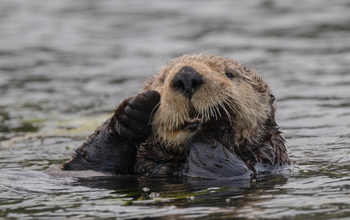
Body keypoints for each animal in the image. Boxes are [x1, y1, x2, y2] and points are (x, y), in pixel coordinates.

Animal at [49, 53, 290, 179]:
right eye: (163, 79)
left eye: (230, 74)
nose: (186, 76)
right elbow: (85, 165)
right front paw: (134, 111)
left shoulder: (264, 158)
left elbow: (221, 167)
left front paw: (217, 117)